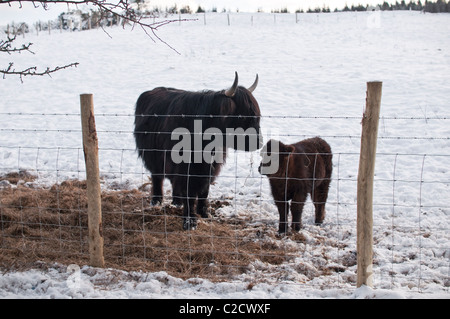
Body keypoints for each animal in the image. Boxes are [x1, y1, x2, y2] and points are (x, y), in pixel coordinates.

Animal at [134, 73, 260, 230]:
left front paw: (204, 213)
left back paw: (177, 202)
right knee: (157, 177)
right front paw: (190, 221)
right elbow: (189, 192)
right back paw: (156, 201)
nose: (259, 142)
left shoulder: (210, 167)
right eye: (241, 115)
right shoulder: (185, 167)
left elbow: (204, 191)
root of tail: (151, 92)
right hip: (154, 157)